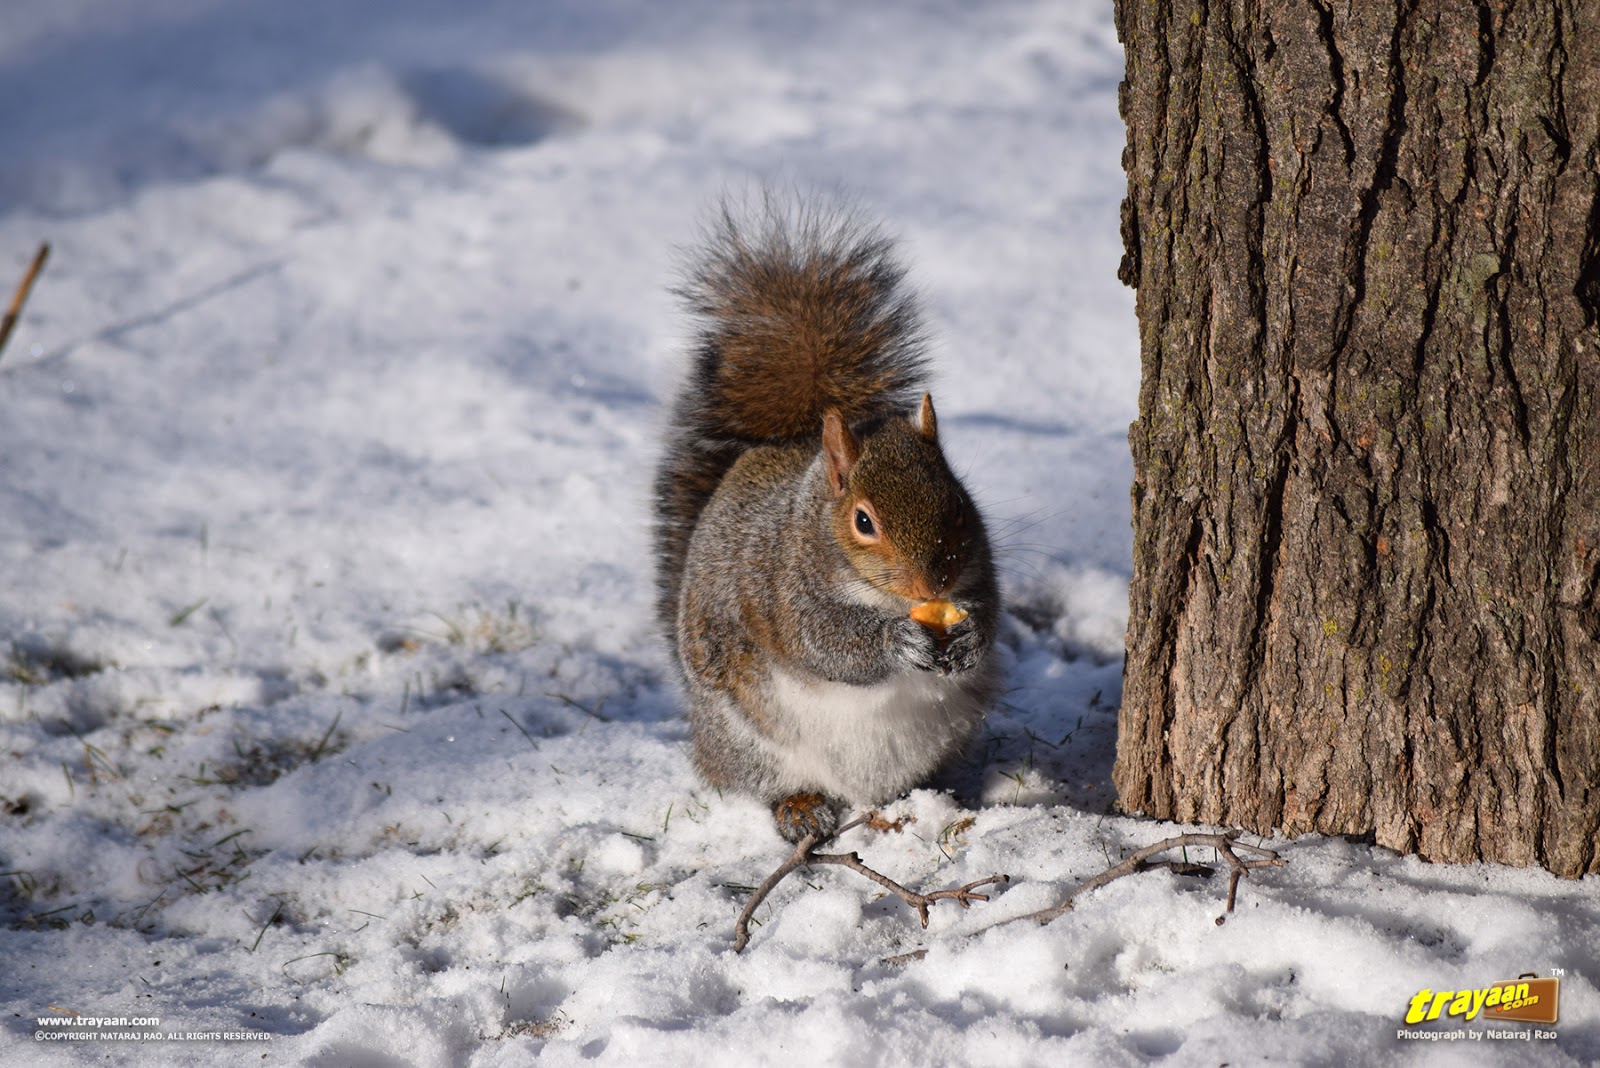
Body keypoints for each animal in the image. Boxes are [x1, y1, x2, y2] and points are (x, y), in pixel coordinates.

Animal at [653, 197, 1000, 842]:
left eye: (960, 504)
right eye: (863, 522)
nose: (932, 585)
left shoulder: (980, 568)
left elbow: (991, 610)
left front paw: (969, 639)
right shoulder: (781, 588)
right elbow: (824, 644)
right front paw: (896, 640)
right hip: (745, 740)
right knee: (765, 782)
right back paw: (799, 806)